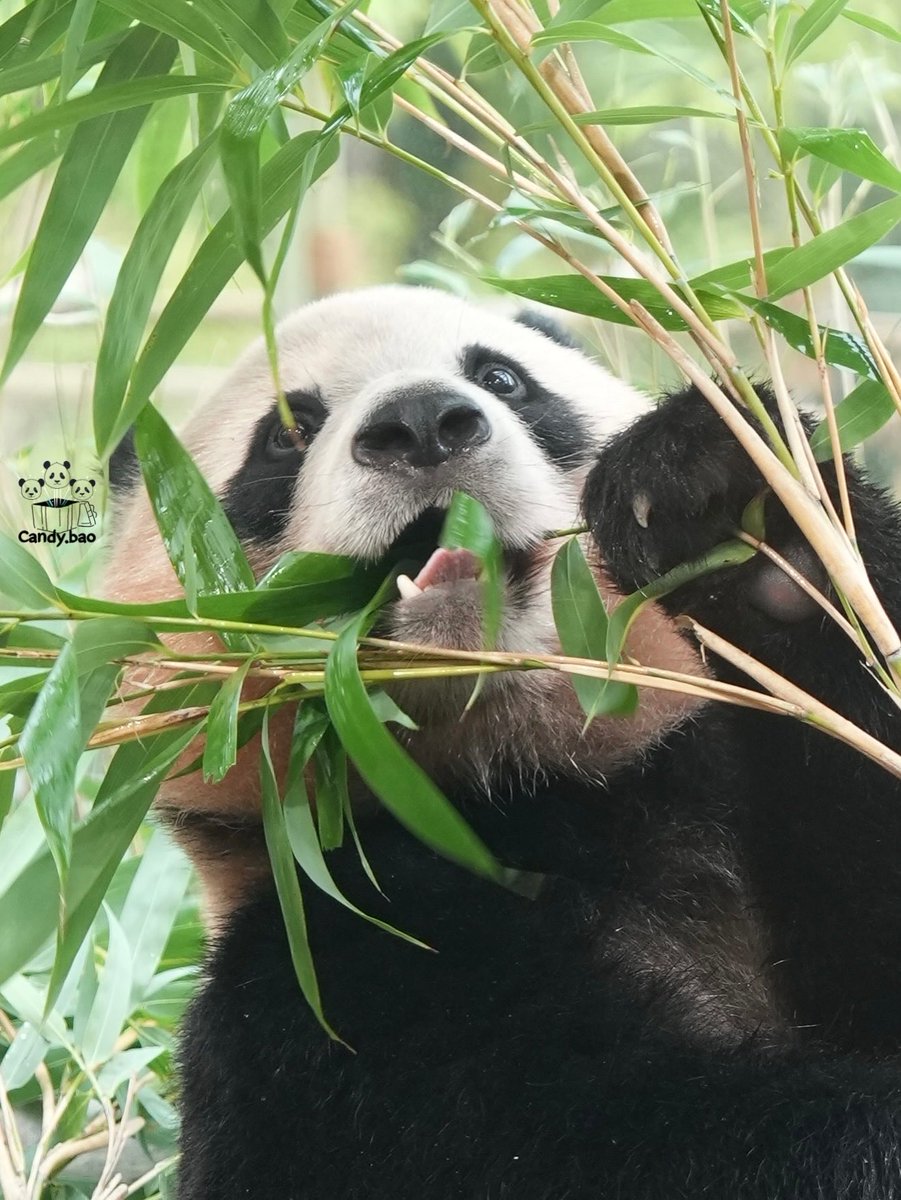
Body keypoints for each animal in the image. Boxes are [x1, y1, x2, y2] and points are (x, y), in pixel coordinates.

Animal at [104, 286, 901, 1199]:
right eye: (287, 432)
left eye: (501, 378)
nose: (420, 423)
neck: (512, 780)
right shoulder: (325, 969)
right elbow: (599, 1136)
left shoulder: (715, 780)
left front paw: (720, 504)